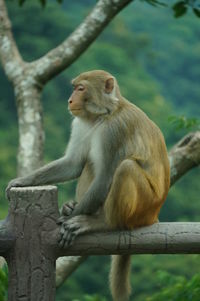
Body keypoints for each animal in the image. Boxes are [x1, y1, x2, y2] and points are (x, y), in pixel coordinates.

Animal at [7, 70, 170, 300]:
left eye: (81, 88)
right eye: (74, 87)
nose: (70, 100)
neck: (102, 115)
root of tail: (154, 215)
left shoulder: (114, 132)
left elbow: (104, 178)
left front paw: (70, 220)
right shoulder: (80, 123)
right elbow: (74, 164)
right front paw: (22, 181)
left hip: (144, 207)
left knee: (125, 168)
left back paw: (102, 222)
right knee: (89, 163)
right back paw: (74, 207)